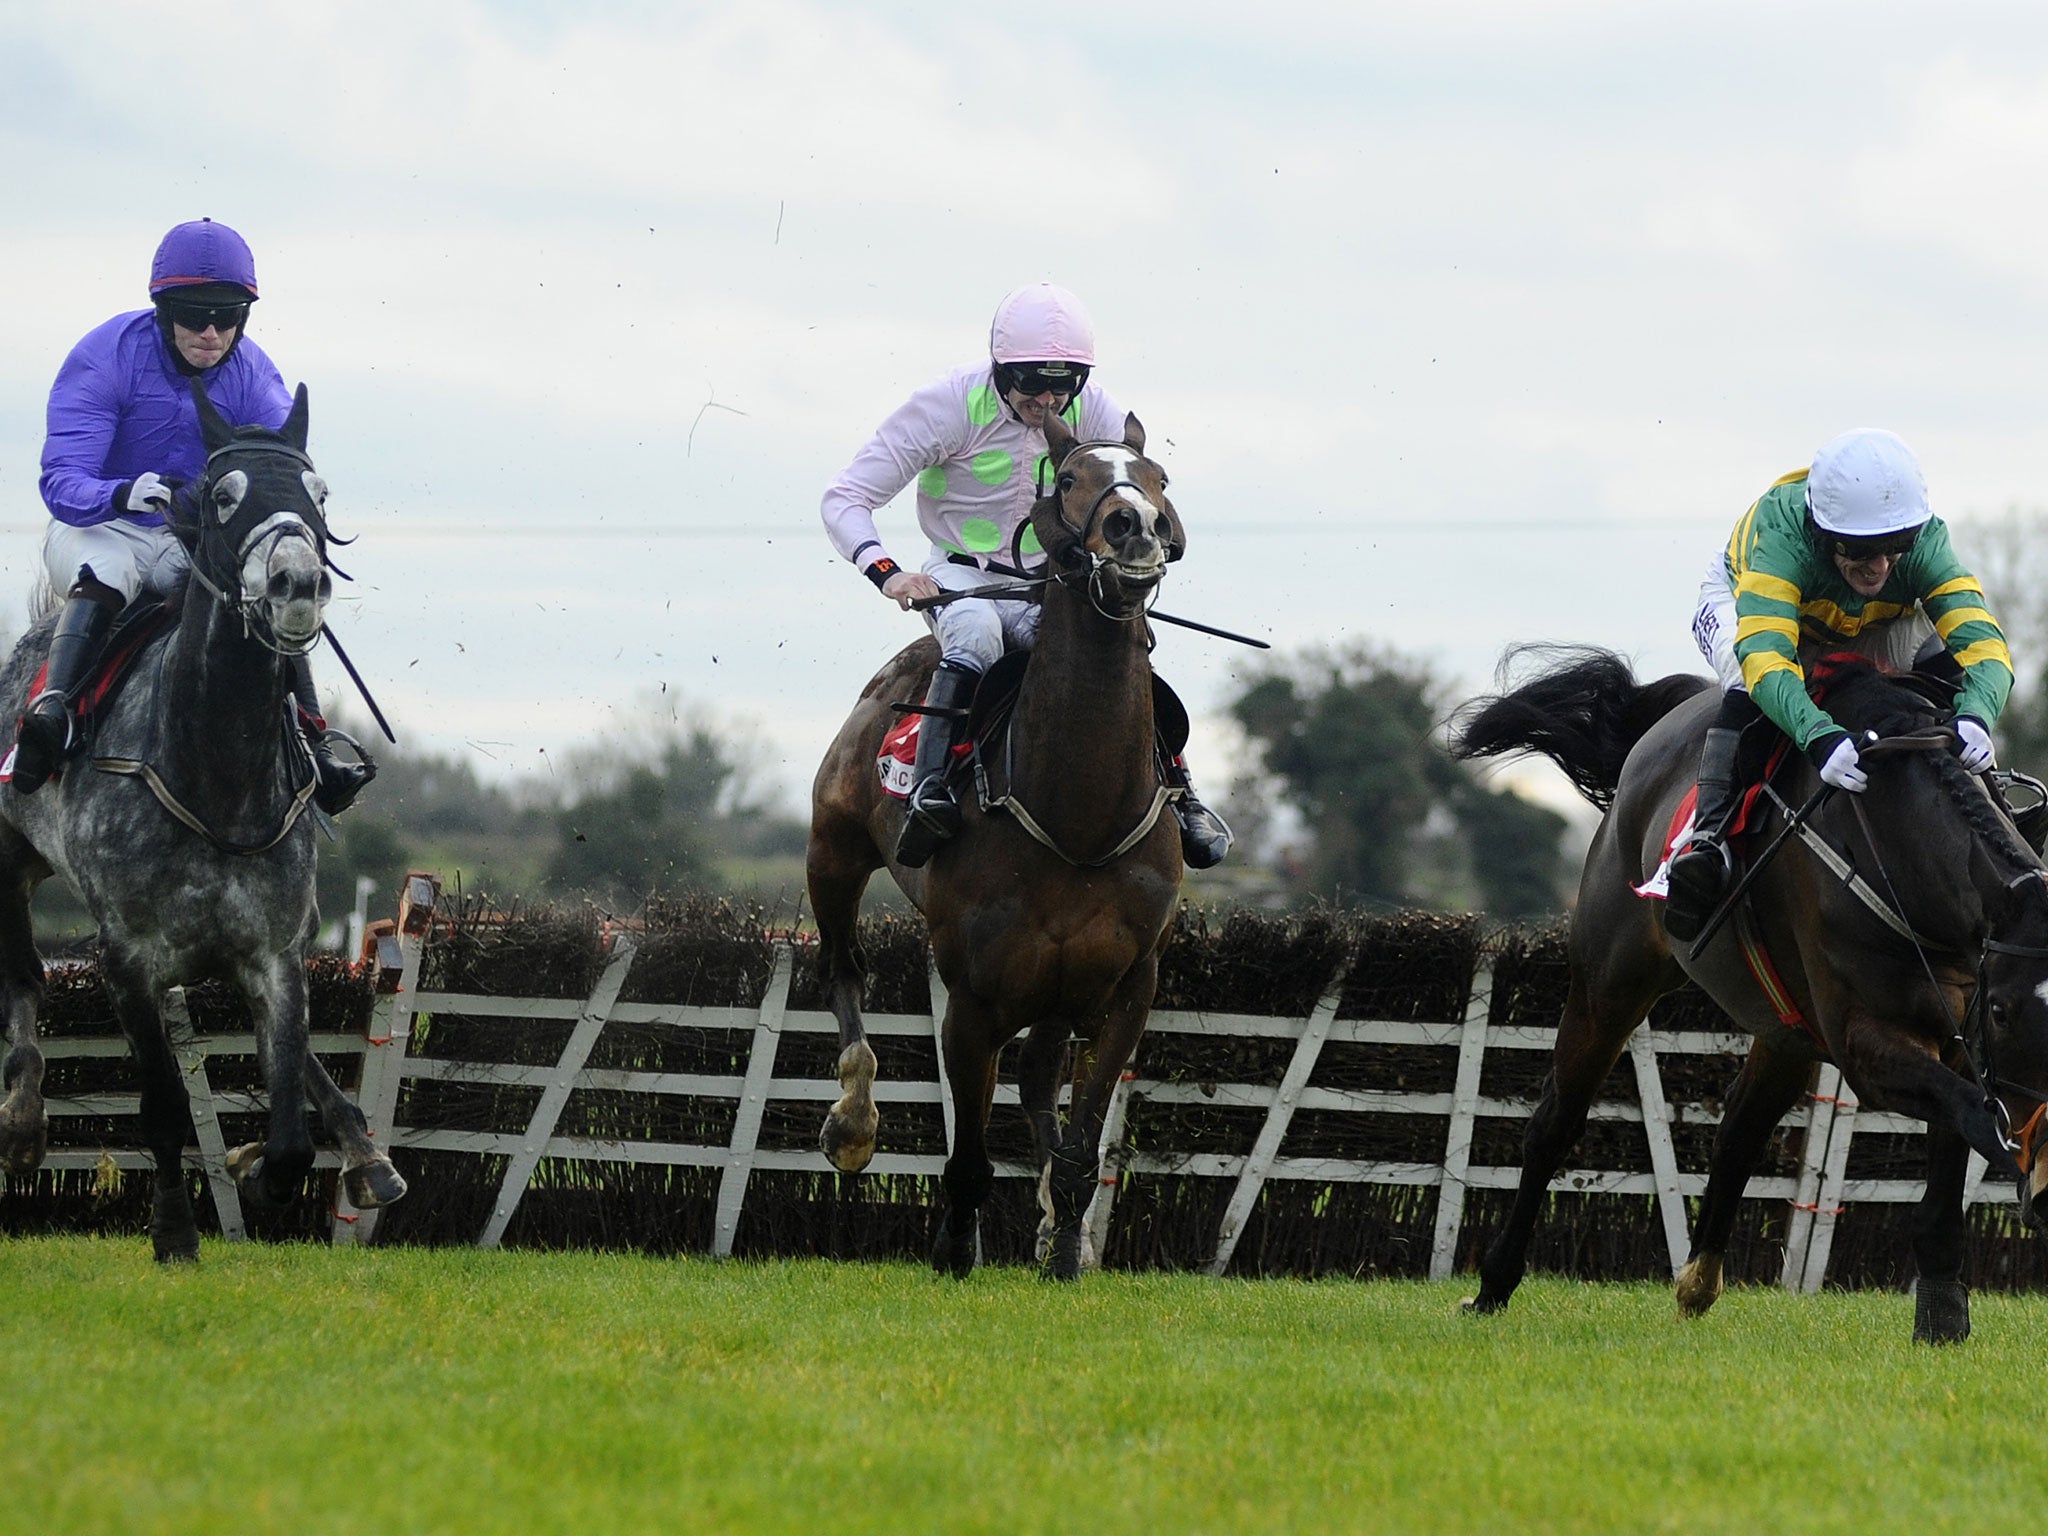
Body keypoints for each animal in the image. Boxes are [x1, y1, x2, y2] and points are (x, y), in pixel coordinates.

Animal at [0, 382, 407, 1261]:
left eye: (319, 494)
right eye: (224, 495)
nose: (297, 582)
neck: (216, 770)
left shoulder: (275, 949)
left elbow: (289, 1119)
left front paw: (261, 1165)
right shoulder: (128, 958)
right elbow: (162, 1106)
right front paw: (174, 1229)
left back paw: (368, 1157)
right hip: (9, 856)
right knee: (23, 978)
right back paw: (20, 1122)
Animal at [802, 411, 1187, 1286]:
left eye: (1158, 479)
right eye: (1071, 478)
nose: (1137, 529)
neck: (1078, 817)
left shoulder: (1126, 987)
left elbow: (1079, 1145)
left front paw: (1068, 1249)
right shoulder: (972, 998)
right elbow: (969, 1156)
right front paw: (952, 1249)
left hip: (1059, 991)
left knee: (1041, 1082)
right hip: (832, 851)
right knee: (843, 971)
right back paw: (853, 1119)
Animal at [1458, 651, 2048, 1343]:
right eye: (2005, 1010)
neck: (1896, 845)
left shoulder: (1960, 1037)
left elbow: (1964, 1135)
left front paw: (1942, 1312)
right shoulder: (1864, 1038)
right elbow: (1976, 1113)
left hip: (1784, 1026)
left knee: (1740, 1125)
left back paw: (1697, 1283)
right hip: (1609, 981)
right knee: (1556, 1122)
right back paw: (1493, 1284)